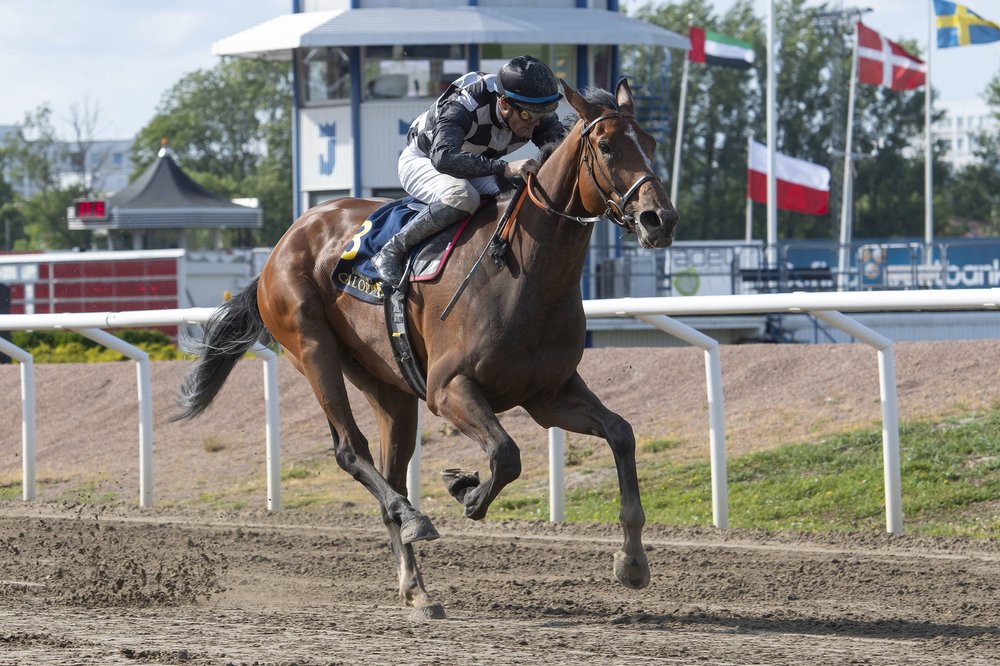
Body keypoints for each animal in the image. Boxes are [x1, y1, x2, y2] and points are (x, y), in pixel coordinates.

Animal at [178, 79, 680, 616]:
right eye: (605, 146)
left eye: (651, 142)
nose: (659, 219)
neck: (521, 271)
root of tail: (281, 244)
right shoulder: (447, 387)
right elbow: (506, 454)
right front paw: (467, 492)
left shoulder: (549, 394)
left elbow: (621, 432)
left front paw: (632, 562)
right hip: (313, 349)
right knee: (351, 451)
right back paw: (415, 519)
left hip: (389, 386)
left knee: (390, 475)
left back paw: (417, 587)